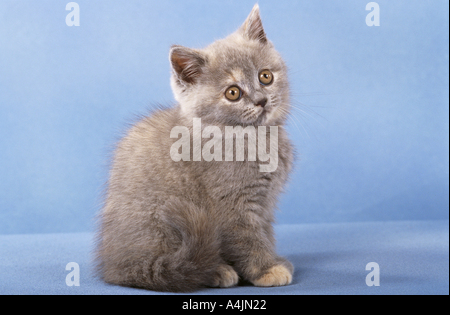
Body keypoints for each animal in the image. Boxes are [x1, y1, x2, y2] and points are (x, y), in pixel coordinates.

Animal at [95, 3, 296, 292]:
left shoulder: (266, 203)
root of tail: (114, 265)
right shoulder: (232, 204)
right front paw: (266, 270)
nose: (261, 100)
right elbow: (248, 238)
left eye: (265, 76)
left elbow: (265, 232)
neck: (254, 137)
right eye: (233, 93)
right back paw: (217, 272)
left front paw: (273, 261)